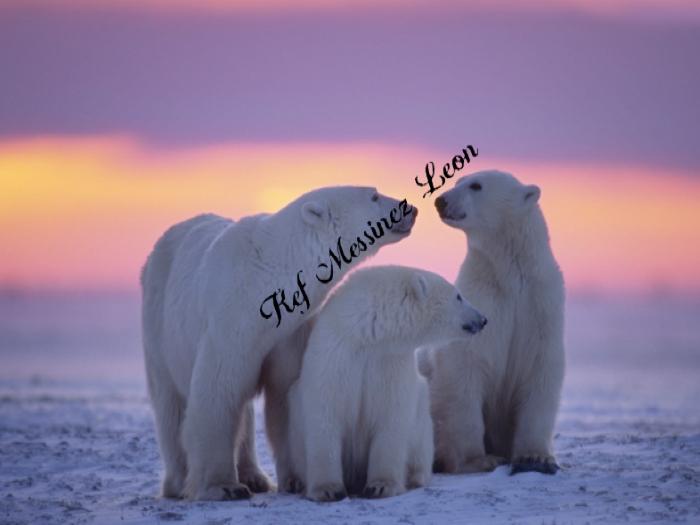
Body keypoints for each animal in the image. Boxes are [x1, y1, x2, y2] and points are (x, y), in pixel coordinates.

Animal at [140, 186, 417, 501]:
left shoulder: (291, 331)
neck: (267, 278)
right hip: (159, 326)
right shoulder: (230, 321)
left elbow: (286, 394)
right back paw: (178, 483)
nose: (412, 209)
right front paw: (224, 486)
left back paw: (256, 477)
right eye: (374, 196)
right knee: (170, 404)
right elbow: (218, 392)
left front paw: (295, 479)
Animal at [279, 265, 488, 502]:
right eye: (458, 296)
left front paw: (380, 486)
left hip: (422, 422)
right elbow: (325, 412)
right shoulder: (335, 353)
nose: (483, 319)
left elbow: (392, 416)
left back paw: (415, 476)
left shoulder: (390, 361)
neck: (368, 335)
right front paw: (328, 489)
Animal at [421, 169, 565, 476]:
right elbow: (464, 369)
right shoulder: (482, 301)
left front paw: (535, 456)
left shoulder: (540, 306)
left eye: (476, 186)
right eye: (457, 182)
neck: (510, 278)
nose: (441, 201)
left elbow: (540, 369)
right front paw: (479, 459)